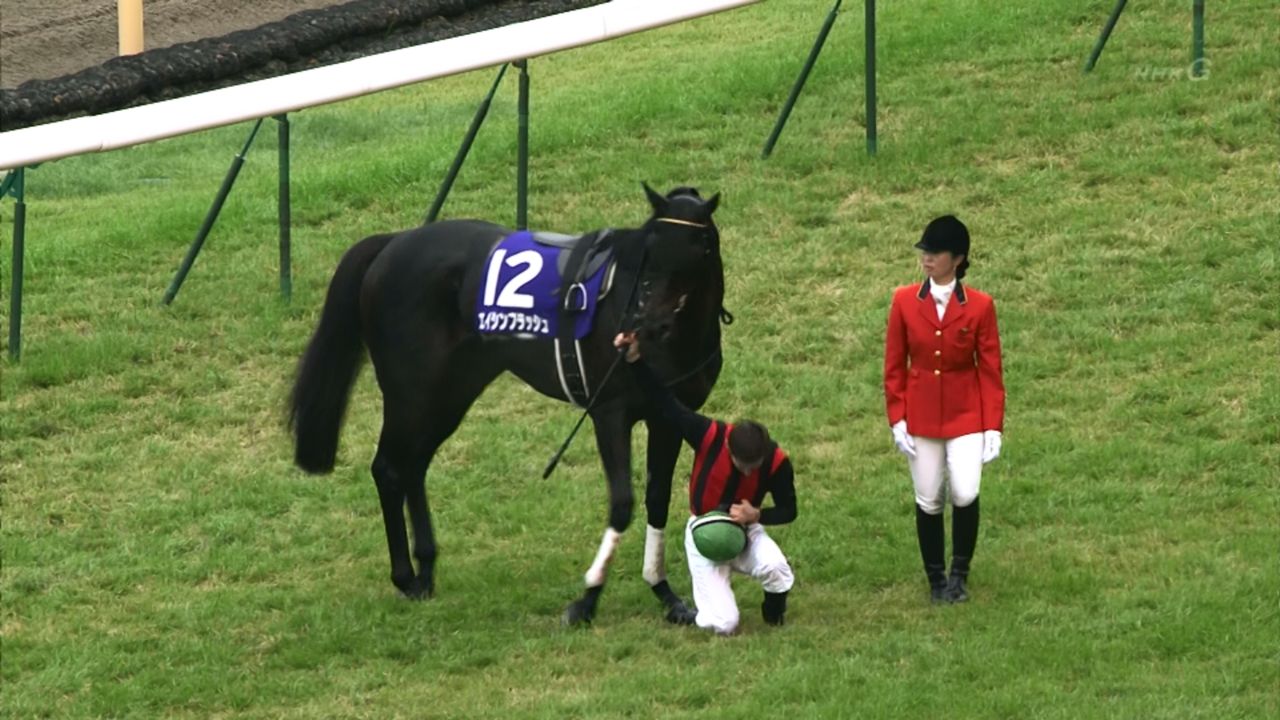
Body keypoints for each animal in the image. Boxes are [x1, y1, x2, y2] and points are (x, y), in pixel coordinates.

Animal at [293, 183, 732, 622]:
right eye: (649, 250)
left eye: (698, 249)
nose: (645, 325)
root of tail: (393, 242)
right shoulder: (610, 413)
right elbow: (622, 503)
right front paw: (587, 600)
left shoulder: (669, 416)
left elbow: (657, 499)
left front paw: (665, 594)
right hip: (410, 395)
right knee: (388, 469)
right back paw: (405, 576)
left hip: (449, 394)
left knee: (412, 468)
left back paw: (426, 568)